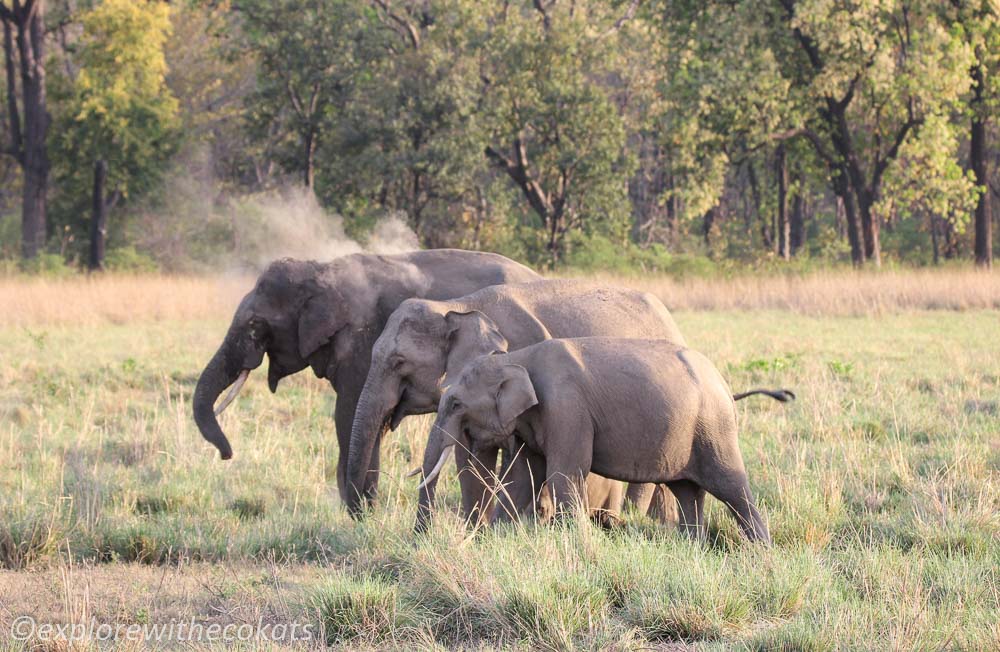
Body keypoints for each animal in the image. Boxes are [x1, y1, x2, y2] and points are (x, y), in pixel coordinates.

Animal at [193, 250, 540, 504]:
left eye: (255, 325)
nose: (226, 454)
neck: (319, 269)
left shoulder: (359, 345)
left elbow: (348, 413)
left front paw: (361, 508)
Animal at [422, 338, 772, 544]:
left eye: (456, 404)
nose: (423, 537)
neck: (518, 357)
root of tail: (724, 384)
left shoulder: (567, 409)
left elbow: (564, 474)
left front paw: (578, 542)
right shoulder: (532, 421)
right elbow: (522, 478)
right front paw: (494, 541)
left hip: (713, 429)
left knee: (731, 487)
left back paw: (760, 551)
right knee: (687, 491)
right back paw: (690, 547)